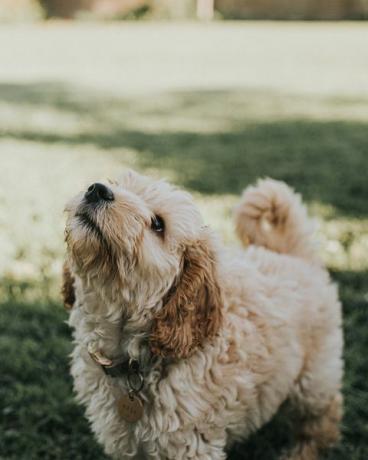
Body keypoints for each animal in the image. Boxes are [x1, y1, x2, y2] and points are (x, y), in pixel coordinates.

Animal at [62, 172, 342, 460]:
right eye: (115, 183)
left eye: (158, 224)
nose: (97, 190)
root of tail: (294, 255)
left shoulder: (190, 444)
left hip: (314, 376)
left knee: (323, 413)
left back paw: (304, 450)